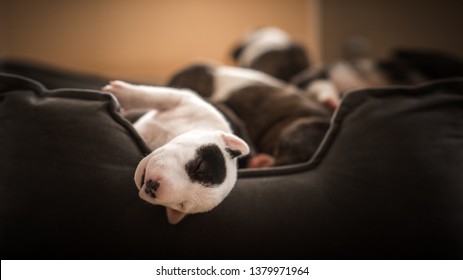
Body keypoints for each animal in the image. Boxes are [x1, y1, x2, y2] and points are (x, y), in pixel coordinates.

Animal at [104, 80, 252, 224]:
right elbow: (160, 97)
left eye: (182, 205)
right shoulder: (189, 101)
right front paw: (120, 92)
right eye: (198, 166)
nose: (153, 187)